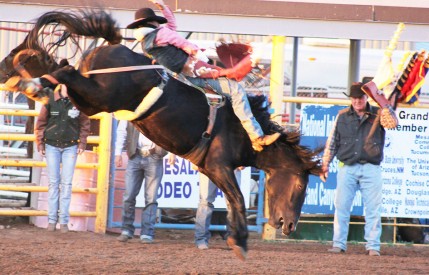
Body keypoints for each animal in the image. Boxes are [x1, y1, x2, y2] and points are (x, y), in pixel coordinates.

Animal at [4, 10, 320, 260]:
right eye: (301, 185)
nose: (290, 226)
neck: (239, 129)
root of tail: (111, 47)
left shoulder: (212, 169)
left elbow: (230, 202)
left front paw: (233, 237)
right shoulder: (220, 166)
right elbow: (240, 200)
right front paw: (240, 243)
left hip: (93, 102)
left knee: (64, 74)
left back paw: (27, 79)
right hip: (99, 94)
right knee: (66, 72)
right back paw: (28, 79)